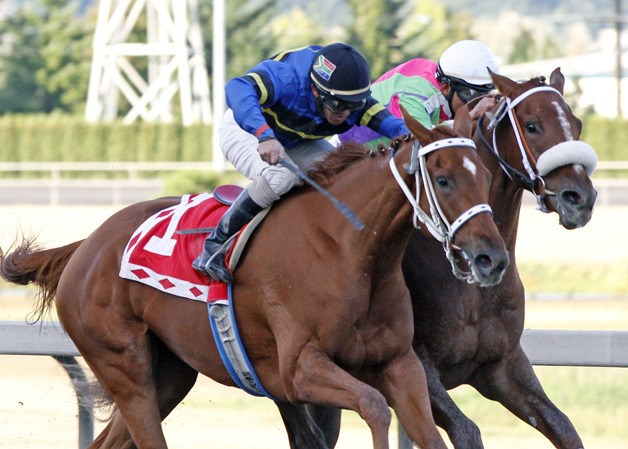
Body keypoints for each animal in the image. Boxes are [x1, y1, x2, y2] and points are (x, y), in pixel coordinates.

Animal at [1, 107, 510, 446]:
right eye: (443, 180)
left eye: (485, 177)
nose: (491, 258)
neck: (350, 250)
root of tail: (85, 246)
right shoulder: (299, 370)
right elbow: (373, 407)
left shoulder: (400, 365)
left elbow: (424, 427)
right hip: (124, 368)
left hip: (168, 374)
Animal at [284, 69, 600, 448]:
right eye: (533, 125)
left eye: (576, 124)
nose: (580, 197)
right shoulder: (413, 368)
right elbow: (467, 430)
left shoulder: (503, 366)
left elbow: (563, 426)